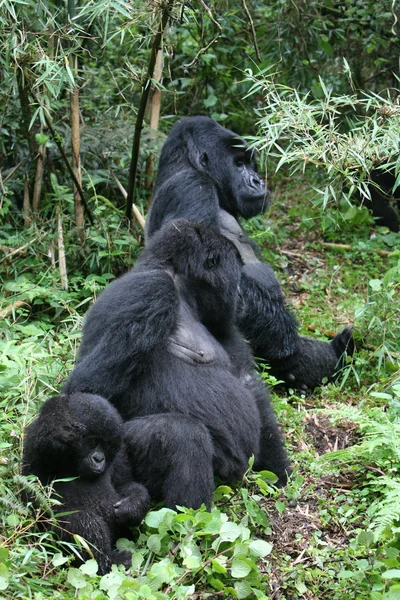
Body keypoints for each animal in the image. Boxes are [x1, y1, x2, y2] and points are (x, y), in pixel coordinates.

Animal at [23, 392, 152, 576]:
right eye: (92, 442)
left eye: (106, 445)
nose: (99, 459)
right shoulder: (38, 444)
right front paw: (60, 423)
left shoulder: (119, 454)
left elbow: (125, 484)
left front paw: (133, 505)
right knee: (83, 521)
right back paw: (109, 562)